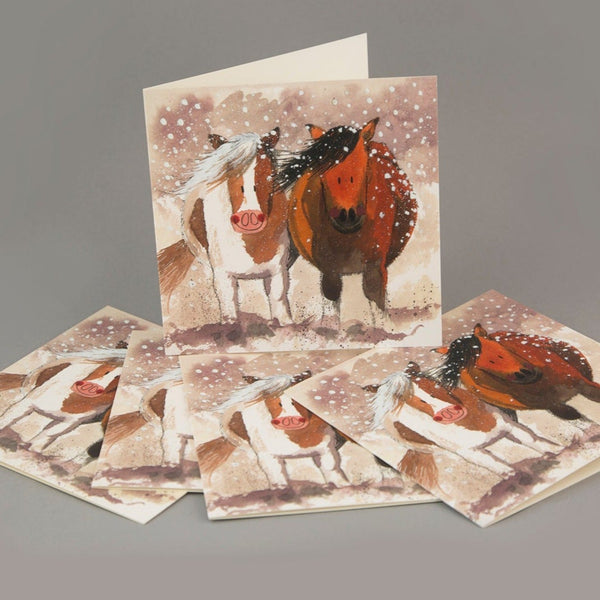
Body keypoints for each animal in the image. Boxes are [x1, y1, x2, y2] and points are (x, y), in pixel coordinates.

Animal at [157, 128, 293, 325]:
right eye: (230, 174)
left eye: (270, 172)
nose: (249, 217)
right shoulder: (223, 276)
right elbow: (230, 313)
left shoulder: (277, 272)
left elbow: (280, 307)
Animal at [197, 370, 351, 488]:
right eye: (270, 398)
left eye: (295, 397)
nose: (290, 419)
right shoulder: (268, 457)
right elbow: (278, 478)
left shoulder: (326, 449)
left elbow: (332, 469)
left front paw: (343, 486)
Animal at [275, 118, 417, 321]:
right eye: (322, 172)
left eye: (364, 167)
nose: (347, 215)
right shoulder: (329, 270)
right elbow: (331, 309)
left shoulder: (375, 266)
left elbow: (377, 304)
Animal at [366, 362, 559, 490]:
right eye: (408, 400)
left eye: (434, 384)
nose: (448, 412)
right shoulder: (471, 453)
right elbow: (502, 467)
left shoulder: (507, 425)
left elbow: (532, 440)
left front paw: (556, 451)